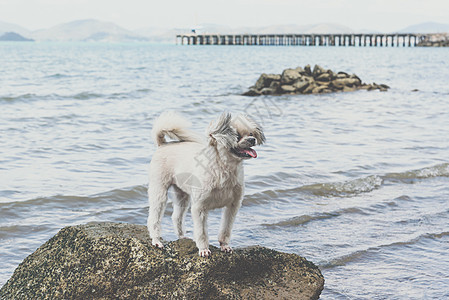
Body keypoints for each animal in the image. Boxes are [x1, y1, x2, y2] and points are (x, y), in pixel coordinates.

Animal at [147, 111, 266, 256]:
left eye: (251, 133)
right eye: (237, 136)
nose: (252, 139)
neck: (224, 169)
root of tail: (163, 144)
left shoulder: (233, 206)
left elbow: (226, 229)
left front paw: (224, 245)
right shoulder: (200, 208)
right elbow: (202, 232)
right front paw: (204, 249)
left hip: (182, 195)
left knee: (177, 217)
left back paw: (182, 236)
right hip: (159, 192)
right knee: (154, 218)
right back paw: (156, 240)